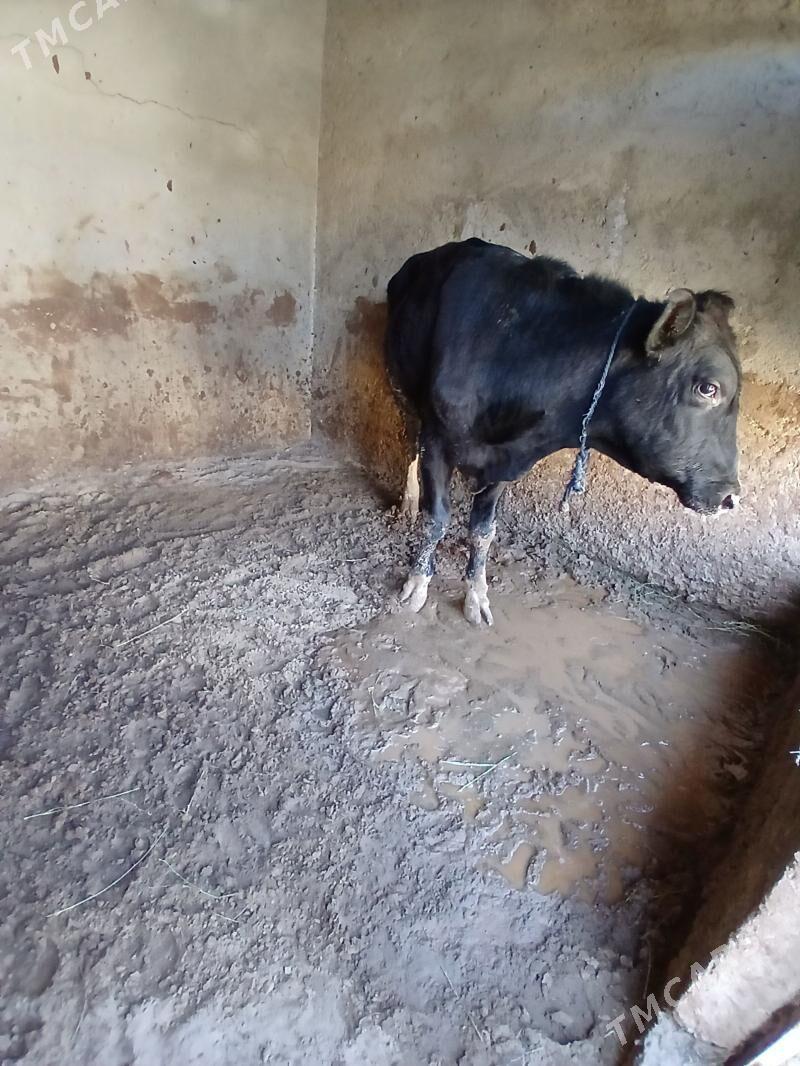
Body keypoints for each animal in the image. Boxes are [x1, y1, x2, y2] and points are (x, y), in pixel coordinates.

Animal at [385, 238, 741, 626]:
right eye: (708, 388)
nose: (732, 496)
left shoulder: (506, 461)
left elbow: (483, 531)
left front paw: (476, 596)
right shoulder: (438, 438)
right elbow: (436, 519)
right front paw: (416, 586)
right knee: (409, 441)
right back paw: (407, 501)